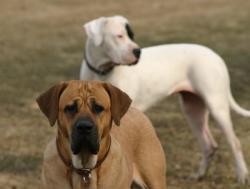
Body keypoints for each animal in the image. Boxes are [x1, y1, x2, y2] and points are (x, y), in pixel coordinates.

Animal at [80, 15, 250, 184]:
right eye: (119, 36)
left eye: (132, 36)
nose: (138, 51)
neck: (102, 70)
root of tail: (216, 55)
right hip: (193, 111)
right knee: (209, 145)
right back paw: (199, 175)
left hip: (216, 106)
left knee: (234, 143)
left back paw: (242, 175)